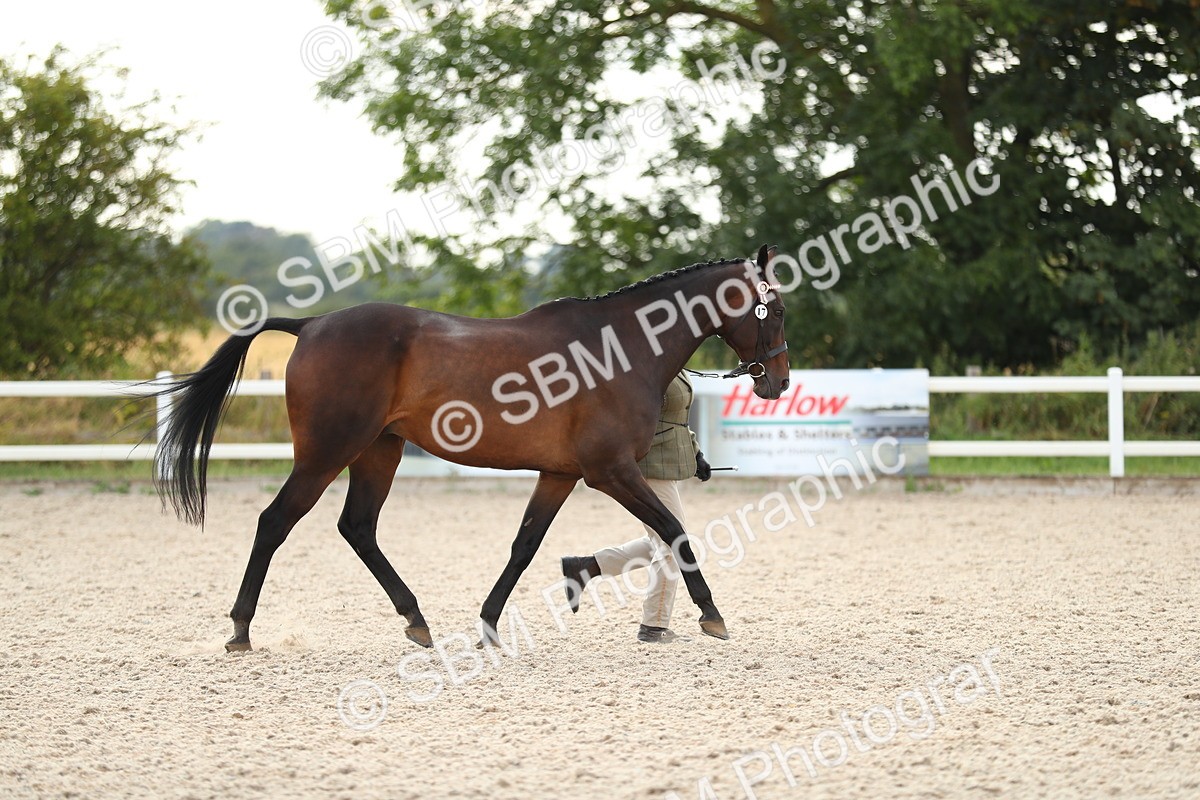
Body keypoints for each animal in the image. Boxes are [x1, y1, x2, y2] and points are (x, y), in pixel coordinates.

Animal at [153, 244, 789, 651]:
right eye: (777, 309)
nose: (777, 383)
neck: (620, 347)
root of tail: (310, 325)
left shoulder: (559, 474)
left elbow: (525, 545)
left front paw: (488, 624)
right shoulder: (610, 471)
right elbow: (675, 532)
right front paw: (713, 616)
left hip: (378, 452)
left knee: (357, 527)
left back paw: (417, 621)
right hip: (326, 454)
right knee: (275, 521)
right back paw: (240, 631)